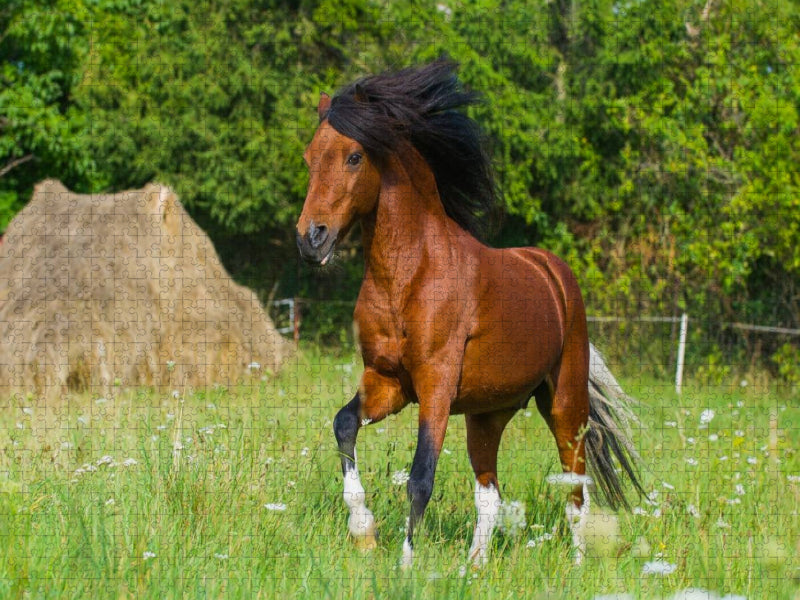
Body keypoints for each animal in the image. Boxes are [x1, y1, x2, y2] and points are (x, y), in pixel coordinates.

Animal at [295, 59, 644, 568]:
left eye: (354, 156)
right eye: (309, 157)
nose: (310, 239)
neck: (410, 275)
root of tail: (554, 273)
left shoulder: (436, 387)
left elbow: (421, 476)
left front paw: (404, 564)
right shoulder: (388, 382)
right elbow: (344, 424)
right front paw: (363, 531)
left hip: (564, 403)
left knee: (575, 487)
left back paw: (577, 565)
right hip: (488, 415)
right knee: (490, 495)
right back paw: (473, 568)